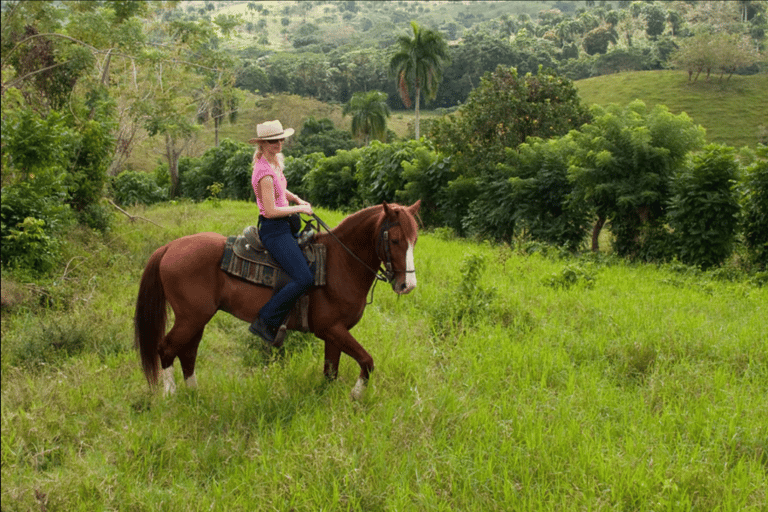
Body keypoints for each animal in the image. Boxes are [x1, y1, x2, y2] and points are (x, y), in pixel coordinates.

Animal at [132, 200, 420, 400]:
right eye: (395, 240)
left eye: (414, 240)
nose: (407, 286)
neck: (340, 263)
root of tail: (169, 247)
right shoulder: (331, 329)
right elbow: (367, 361)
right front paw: (356, 394)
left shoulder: (335, 334)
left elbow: (331, 372)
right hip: (191, 318)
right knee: (166, 348)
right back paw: (171, 395)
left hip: (197, 318)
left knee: (188, 352)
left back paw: (194, 394)